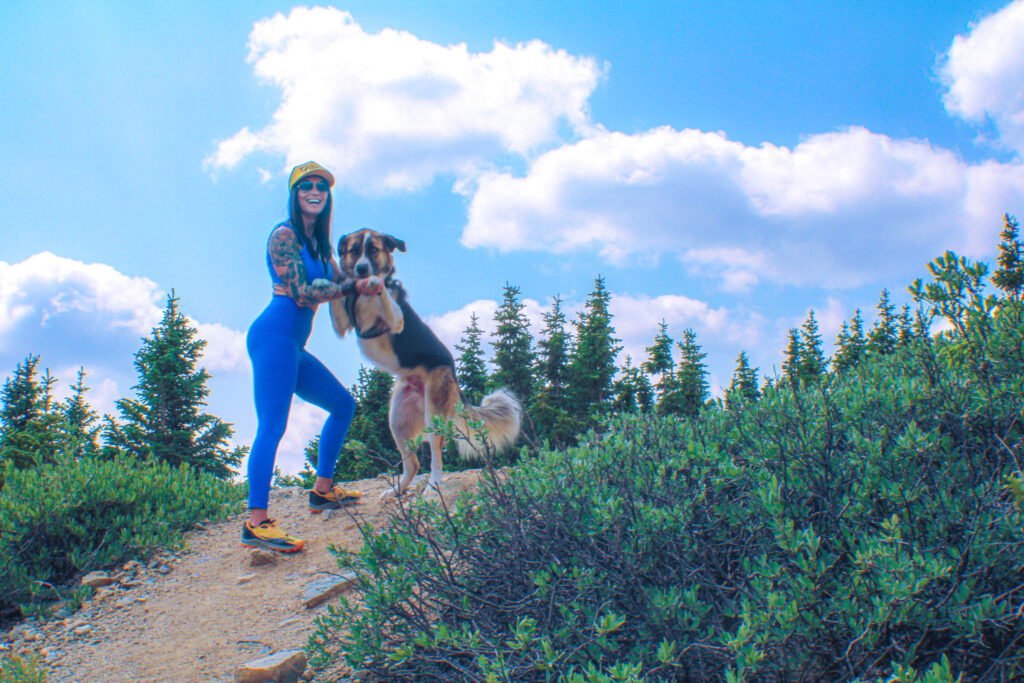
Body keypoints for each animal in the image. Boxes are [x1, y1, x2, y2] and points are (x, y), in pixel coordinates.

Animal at [325, 229, 524, 497]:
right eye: (354, 251)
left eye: (373, 250)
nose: (362, 269)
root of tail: (453, 376)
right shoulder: (341, 326)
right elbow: (337, 301)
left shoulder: (395, 320)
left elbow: (385, 296)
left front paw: (377, 283)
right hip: (397, 421)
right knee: (413, 464)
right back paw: (397, 491)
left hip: (434, 416)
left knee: (436, 461)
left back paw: (432, 488)